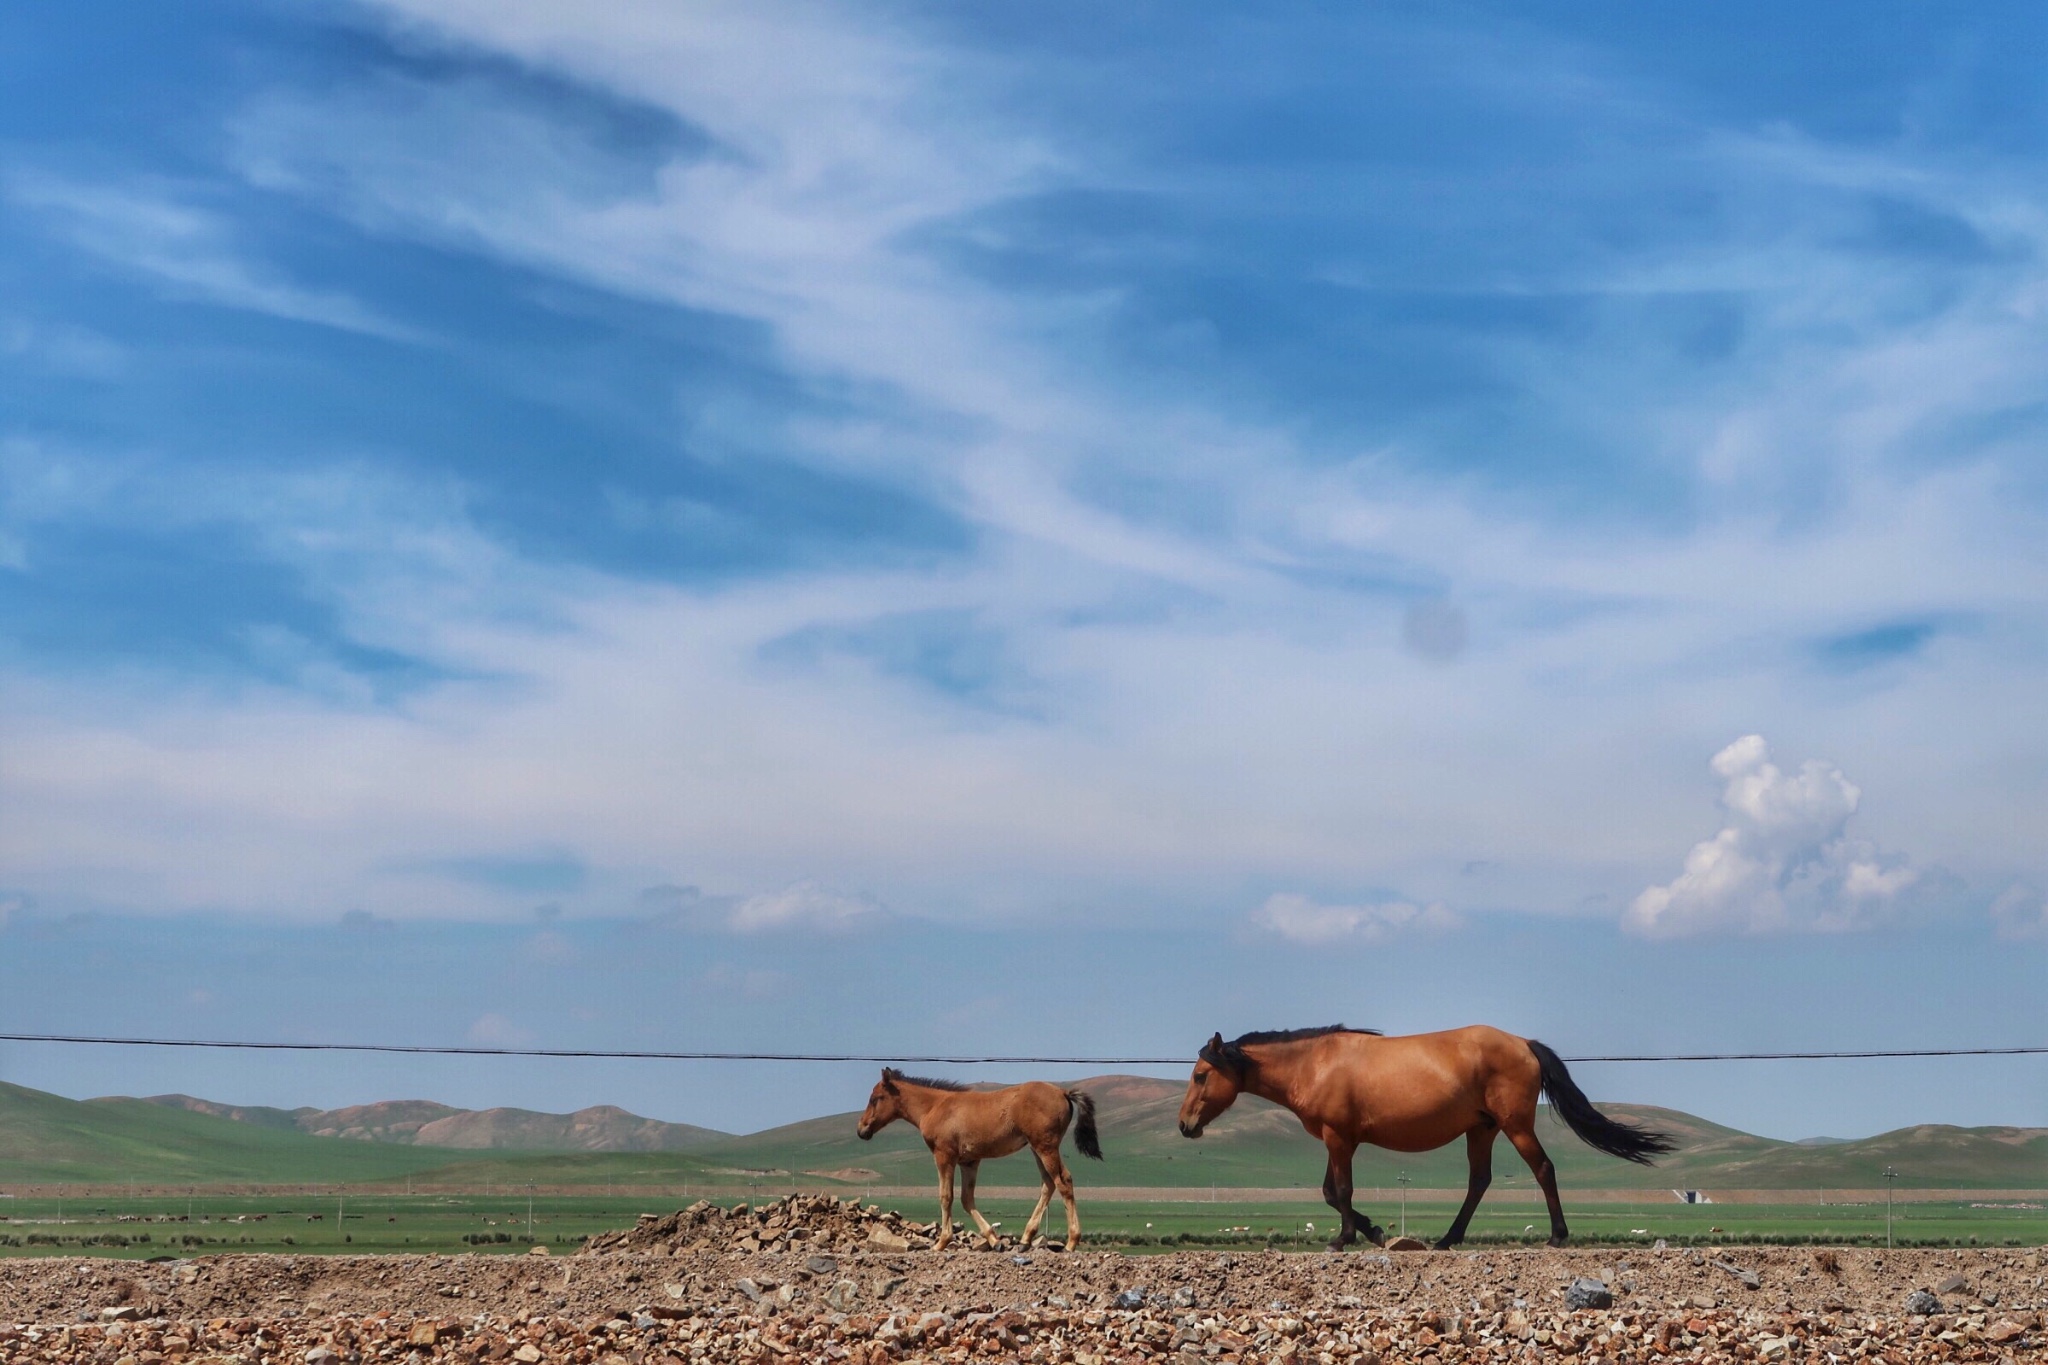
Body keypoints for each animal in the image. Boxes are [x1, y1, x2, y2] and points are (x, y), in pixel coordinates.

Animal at [851, 1072, 1105, 1252]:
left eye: (875, 1098)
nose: (861, 1130)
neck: (935, 1107)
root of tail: (1063, 1092)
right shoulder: (970, 1161)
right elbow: (966, 1199)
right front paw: (994, 1240)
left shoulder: (944, 1156)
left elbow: (946, 1196)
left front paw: (941, 1242)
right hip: (1037, 1148)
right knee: (1049, 1184)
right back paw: (1025, 1239)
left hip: (1046, 1147)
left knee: (1064, 1182)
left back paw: (1071, 1242)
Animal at [1179, 1023, 1671, 1252]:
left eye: (1201, 1075)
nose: (1185, 1125)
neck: (1314, 1064)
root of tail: (1523, 1043)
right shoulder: (1336, 1140)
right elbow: (1330, 1192)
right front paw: (1374, 1230)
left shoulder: (1339, 1139)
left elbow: (1341, 1191)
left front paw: (1346, 1238)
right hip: (1482, 1129)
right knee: (1479, 1182)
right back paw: (1448, 1239)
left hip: (1514, 1125)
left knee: (1543, 1168)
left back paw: (1556, 1236)